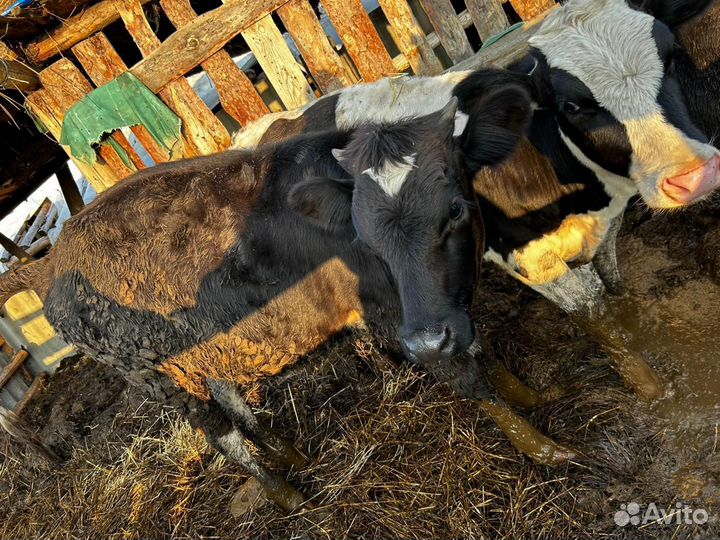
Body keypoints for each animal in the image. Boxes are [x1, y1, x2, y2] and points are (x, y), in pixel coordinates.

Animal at [0, 93, 533, 510]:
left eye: (456, 209)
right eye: (368, 237)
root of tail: (55, 258)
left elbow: (477, 348)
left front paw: (531, 393)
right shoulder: (395, 313)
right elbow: (466, 374)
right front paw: (541, 447)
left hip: (199, 352)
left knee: (236, 404)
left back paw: (290, 454)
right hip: (155, 377)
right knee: (221, 434)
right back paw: (286, 493)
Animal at [231, 0, 720, 401]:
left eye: (671, 56)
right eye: (573, 104)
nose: (692, 176)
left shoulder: (606, 223)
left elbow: (613, 278)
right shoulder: (530, 260)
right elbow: (593, 309)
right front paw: (649, 387)